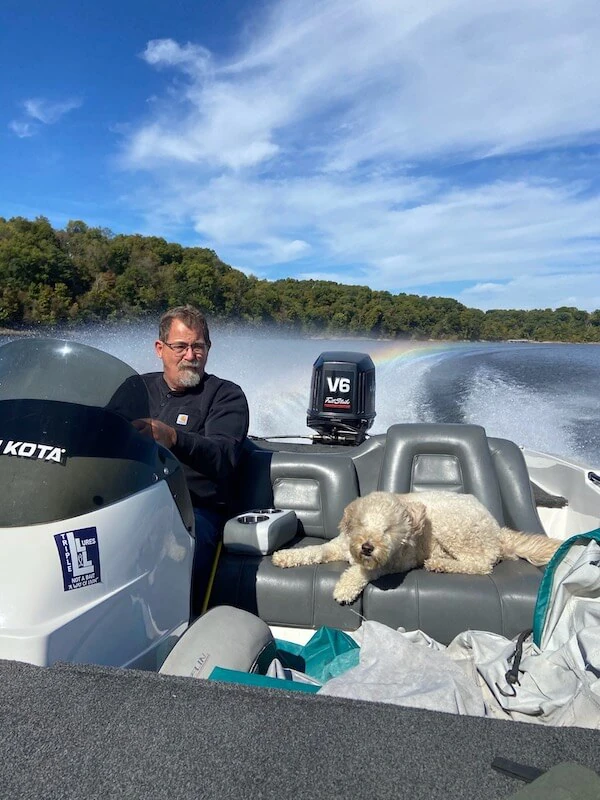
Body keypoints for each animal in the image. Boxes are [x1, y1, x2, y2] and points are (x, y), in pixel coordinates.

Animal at [272, 488, 564, 608]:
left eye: (388, 530)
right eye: (362, 523)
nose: (367, 547)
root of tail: (497, 530)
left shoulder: (390, 564)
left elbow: (363, 573)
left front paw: (344, 588)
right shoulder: (339, 545)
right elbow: (315, 551)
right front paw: (286, 555)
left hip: (454, 527)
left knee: (481, 564)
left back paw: (441, 563)